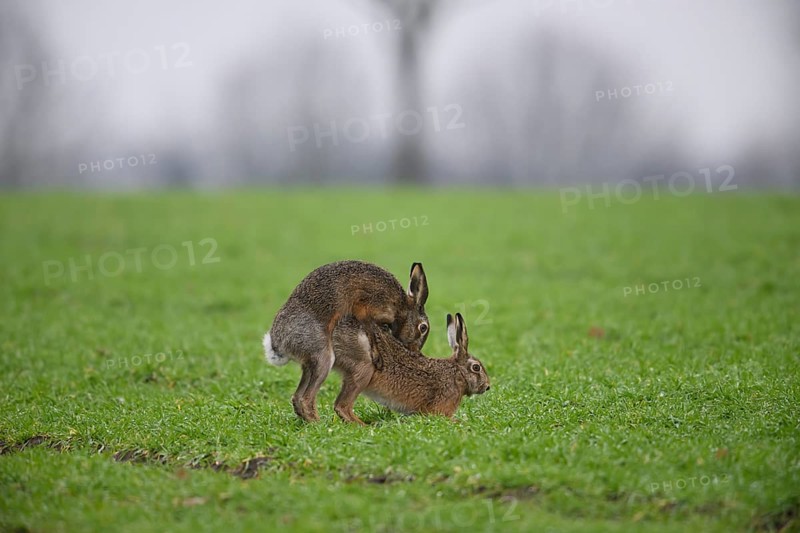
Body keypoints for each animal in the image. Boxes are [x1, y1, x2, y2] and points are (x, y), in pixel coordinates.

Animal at [263, 260, 430, 422]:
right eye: (423, 328)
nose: (416, 352)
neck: (402, 308)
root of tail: (277, 344)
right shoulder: (368, 306)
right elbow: (369, 327)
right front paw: (377, 355)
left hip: (310, 362)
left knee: (298, 397)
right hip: (322, 355)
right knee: (306, 398)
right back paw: (320, 424)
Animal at [330, 312, 490, 424]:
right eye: (476, 367)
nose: (487, 387)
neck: (458, 374)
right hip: (363, 369)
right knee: (342, 406)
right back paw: (365, 425)